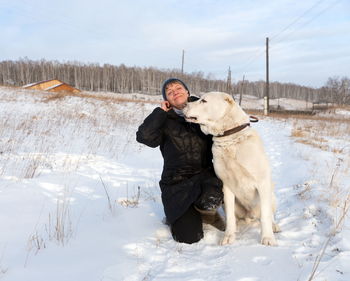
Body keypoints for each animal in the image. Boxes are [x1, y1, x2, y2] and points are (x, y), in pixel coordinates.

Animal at [183, 92, 278, 245]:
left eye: (204, 101)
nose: (184, 104)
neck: (230, 137)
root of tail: (249, 217)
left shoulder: (262, 183)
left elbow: (265, 215)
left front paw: (268, 238)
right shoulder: (226, 185)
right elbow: (230, 215)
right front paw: (229, 236)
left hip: (272, 195)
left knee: (269, 213)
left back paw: (274, 226)